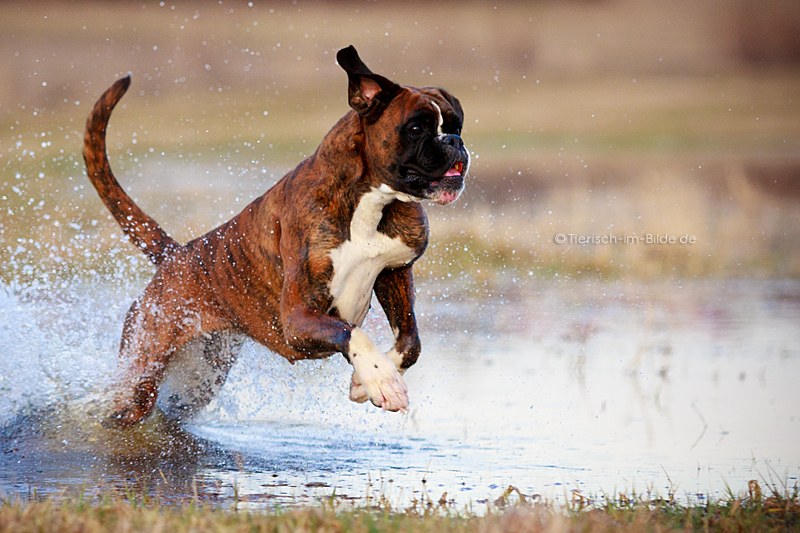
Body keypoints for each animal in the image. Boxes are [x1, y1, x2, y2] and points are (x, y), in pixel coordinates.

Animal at [83, 46, 468, 428]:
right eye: (416, 128)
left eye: (456, 124)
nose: (454, 141)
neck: (371, 199)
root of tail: (175, 256)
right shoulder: (298, 318)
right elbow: (352, 332)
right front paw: (381, 378)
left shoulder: (394, 272)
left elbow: (410, 341)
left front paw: (365, 382)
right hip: (140, 379)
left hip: (201, 377)